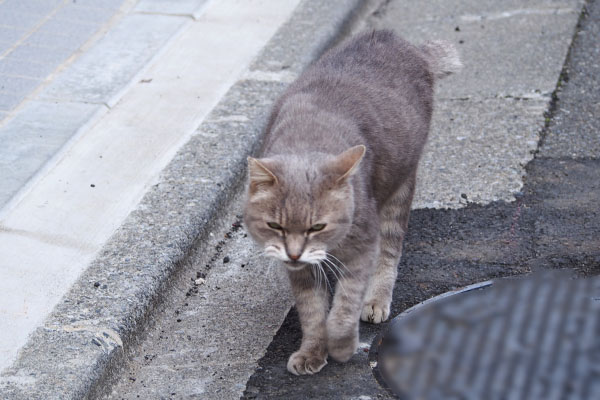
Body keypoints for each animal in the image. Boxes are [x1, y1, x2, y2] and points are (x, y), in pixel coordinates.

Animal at [243, 30, 460, 376]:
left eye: (317, 226)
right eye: (274, 226)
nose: (293, 253)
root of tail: (400, 41)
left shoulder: (362, 247)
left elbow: (345, 302)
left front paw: (342, 344)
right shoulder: (301, 272)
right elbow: (312, 311)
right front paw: (312, 352)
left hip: (400, 188)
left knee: (389, 251)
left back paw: (376, 301)